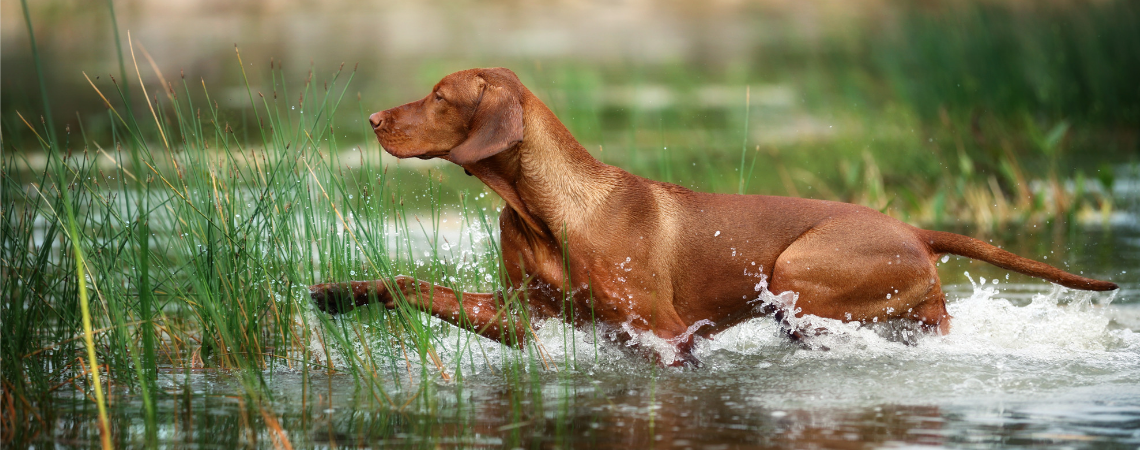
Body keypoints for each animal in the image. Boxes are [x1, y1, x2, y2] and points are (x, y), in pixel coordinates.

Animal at [307, 67, 1117, 366]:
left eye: (441, 97)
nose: (373, 119)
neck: (542, 209)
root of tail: (912, 227)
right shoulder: (521, 315)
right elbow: (411, 284)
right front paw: (339, 295)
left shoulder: (665, 335)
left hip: (798, 274)